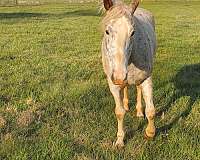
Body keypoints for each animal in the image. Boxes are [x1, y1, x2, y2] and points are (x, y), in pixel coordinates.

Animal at [101, 0, 156, 147]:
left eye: (133, 32)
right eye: (107, 31)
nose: (119, 76)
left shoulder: (146, 78)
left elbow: (151, 110)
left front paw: (150, 133)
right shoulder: (112, 84)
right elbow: (119, 112)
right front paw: (120, 140)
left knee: (138, 89)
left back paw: (139, 111)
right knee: (125, 88)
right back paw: (126, 105)